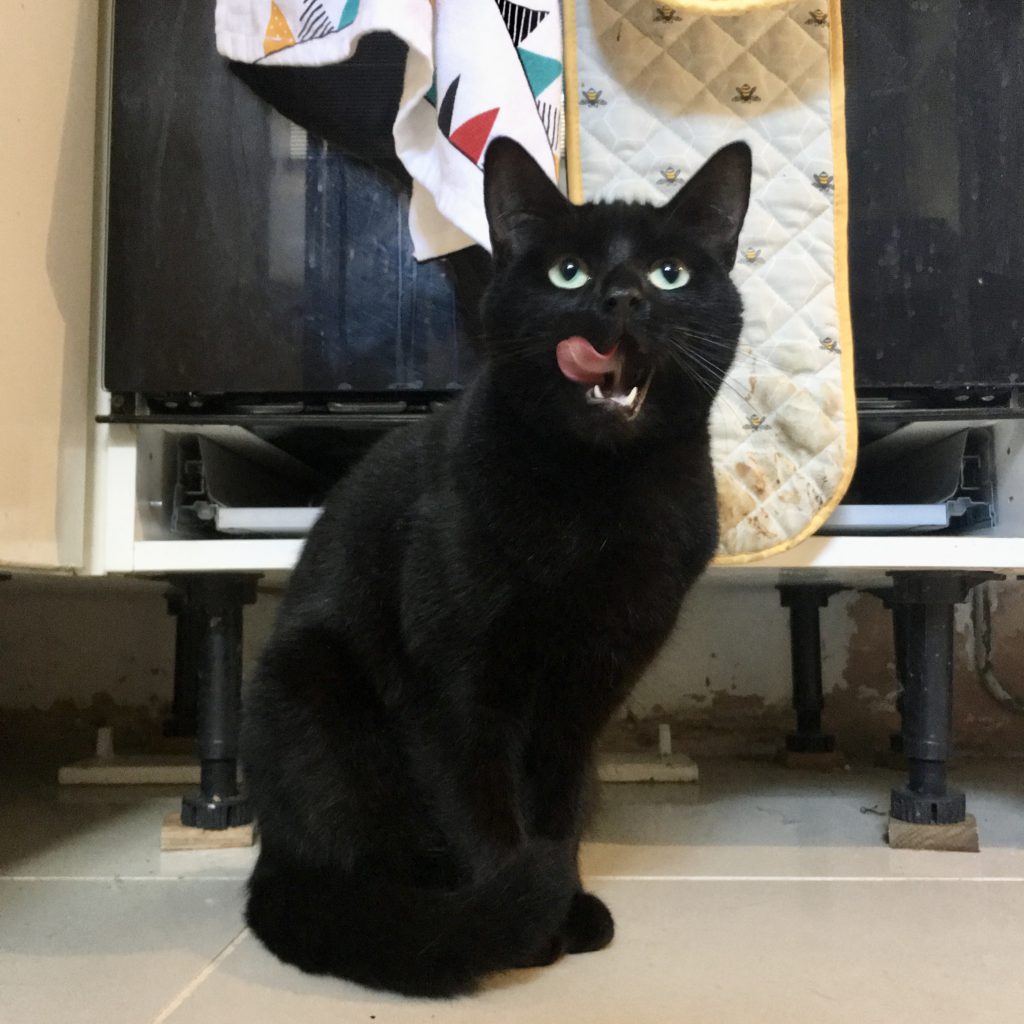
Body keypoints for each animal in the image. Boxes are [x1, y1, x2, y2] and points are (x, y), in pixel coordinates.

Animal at [240, 140, 753, 995]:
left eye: (670, 273)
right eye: (568, 273)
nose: (621, 297)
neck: (598, 501)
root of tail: (268, 858)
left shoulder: (586, 693)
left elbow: (551, 804)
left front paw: (562, 899)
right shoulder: (457, 686)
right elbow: (479, 803)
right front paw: (524, 917)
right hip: (313, 687)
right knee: (366, 855)